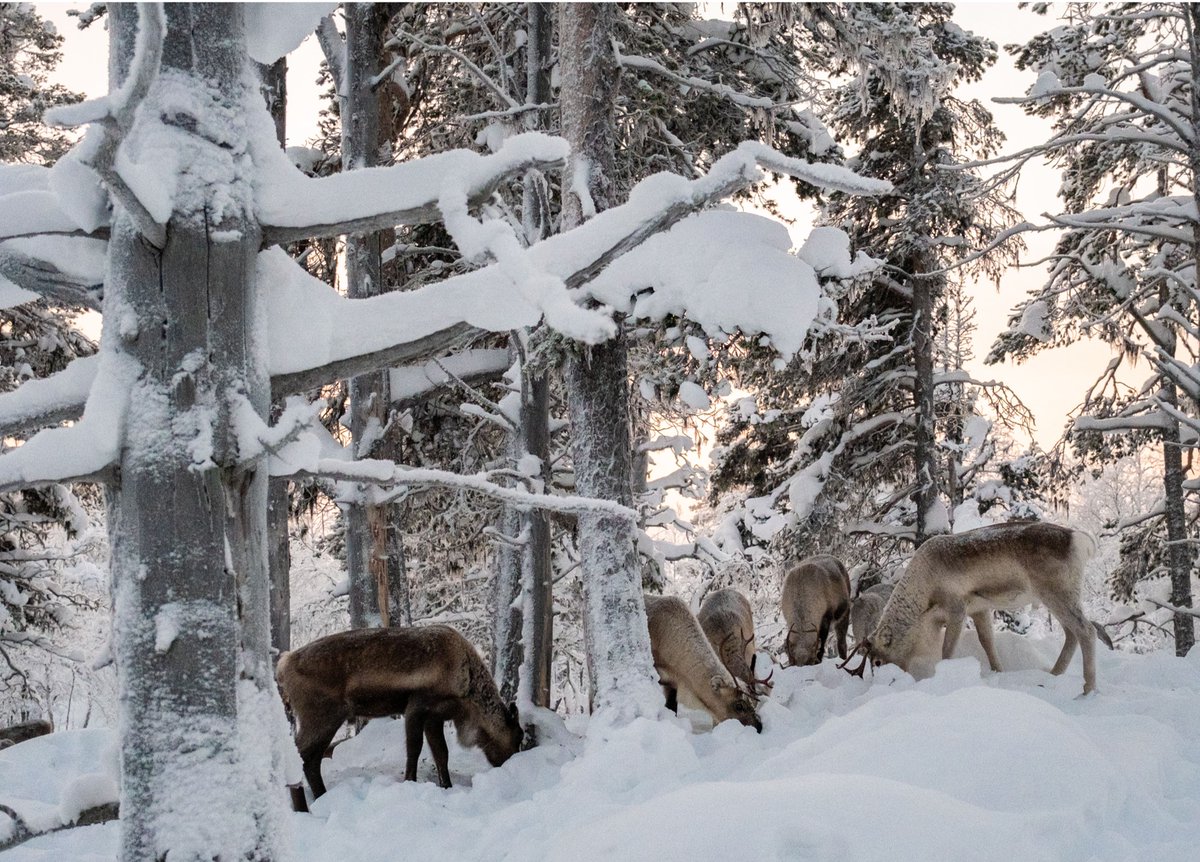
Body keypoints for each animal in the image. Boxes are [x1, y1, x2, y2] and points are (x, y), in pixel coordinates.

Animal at [275, 625, 523, 798]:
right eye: (517, 736)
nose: (509, 765)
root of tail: (283, 666)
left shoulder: (435, 716)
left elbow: (441, 753)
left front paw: (447, 785)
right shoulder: (417, 705)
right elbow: (414, 749)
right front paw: (410, 781)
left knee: (311, 761)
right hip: (321, 716)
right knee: (301, 757)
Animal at [850, 521, 1100, 695]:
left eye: (877, 661)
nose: (887, 681)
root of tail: (1082, 540)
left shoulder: (957, 609)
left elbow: (947, 650)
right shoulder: (979, 609)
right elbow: (987, 641)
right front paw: (998, 671)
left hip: (1058, 593)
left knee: (1087, 631)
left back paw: (1087, 689)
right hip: (1056, 598)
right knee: (1071, 634)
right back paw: (1053, 675)